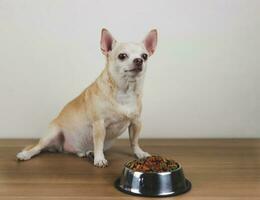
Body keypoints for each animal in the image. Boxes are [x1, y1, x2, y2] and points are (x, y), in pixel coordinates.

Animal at [17, 28, 158, 167]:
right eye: (122, 56)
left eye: (144, 56)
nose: (139, 60)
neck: (125, 91)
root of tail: (60, 148)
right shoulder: (99, 124)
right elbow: (99, 143)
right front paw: (100, 159)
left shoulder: (136, 123)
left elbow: (134, 141)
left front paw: (139, 153)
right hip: (52, 133)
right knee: (38, 148)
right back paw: (26, 154)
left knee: (77, 151)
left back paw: (87, 152)